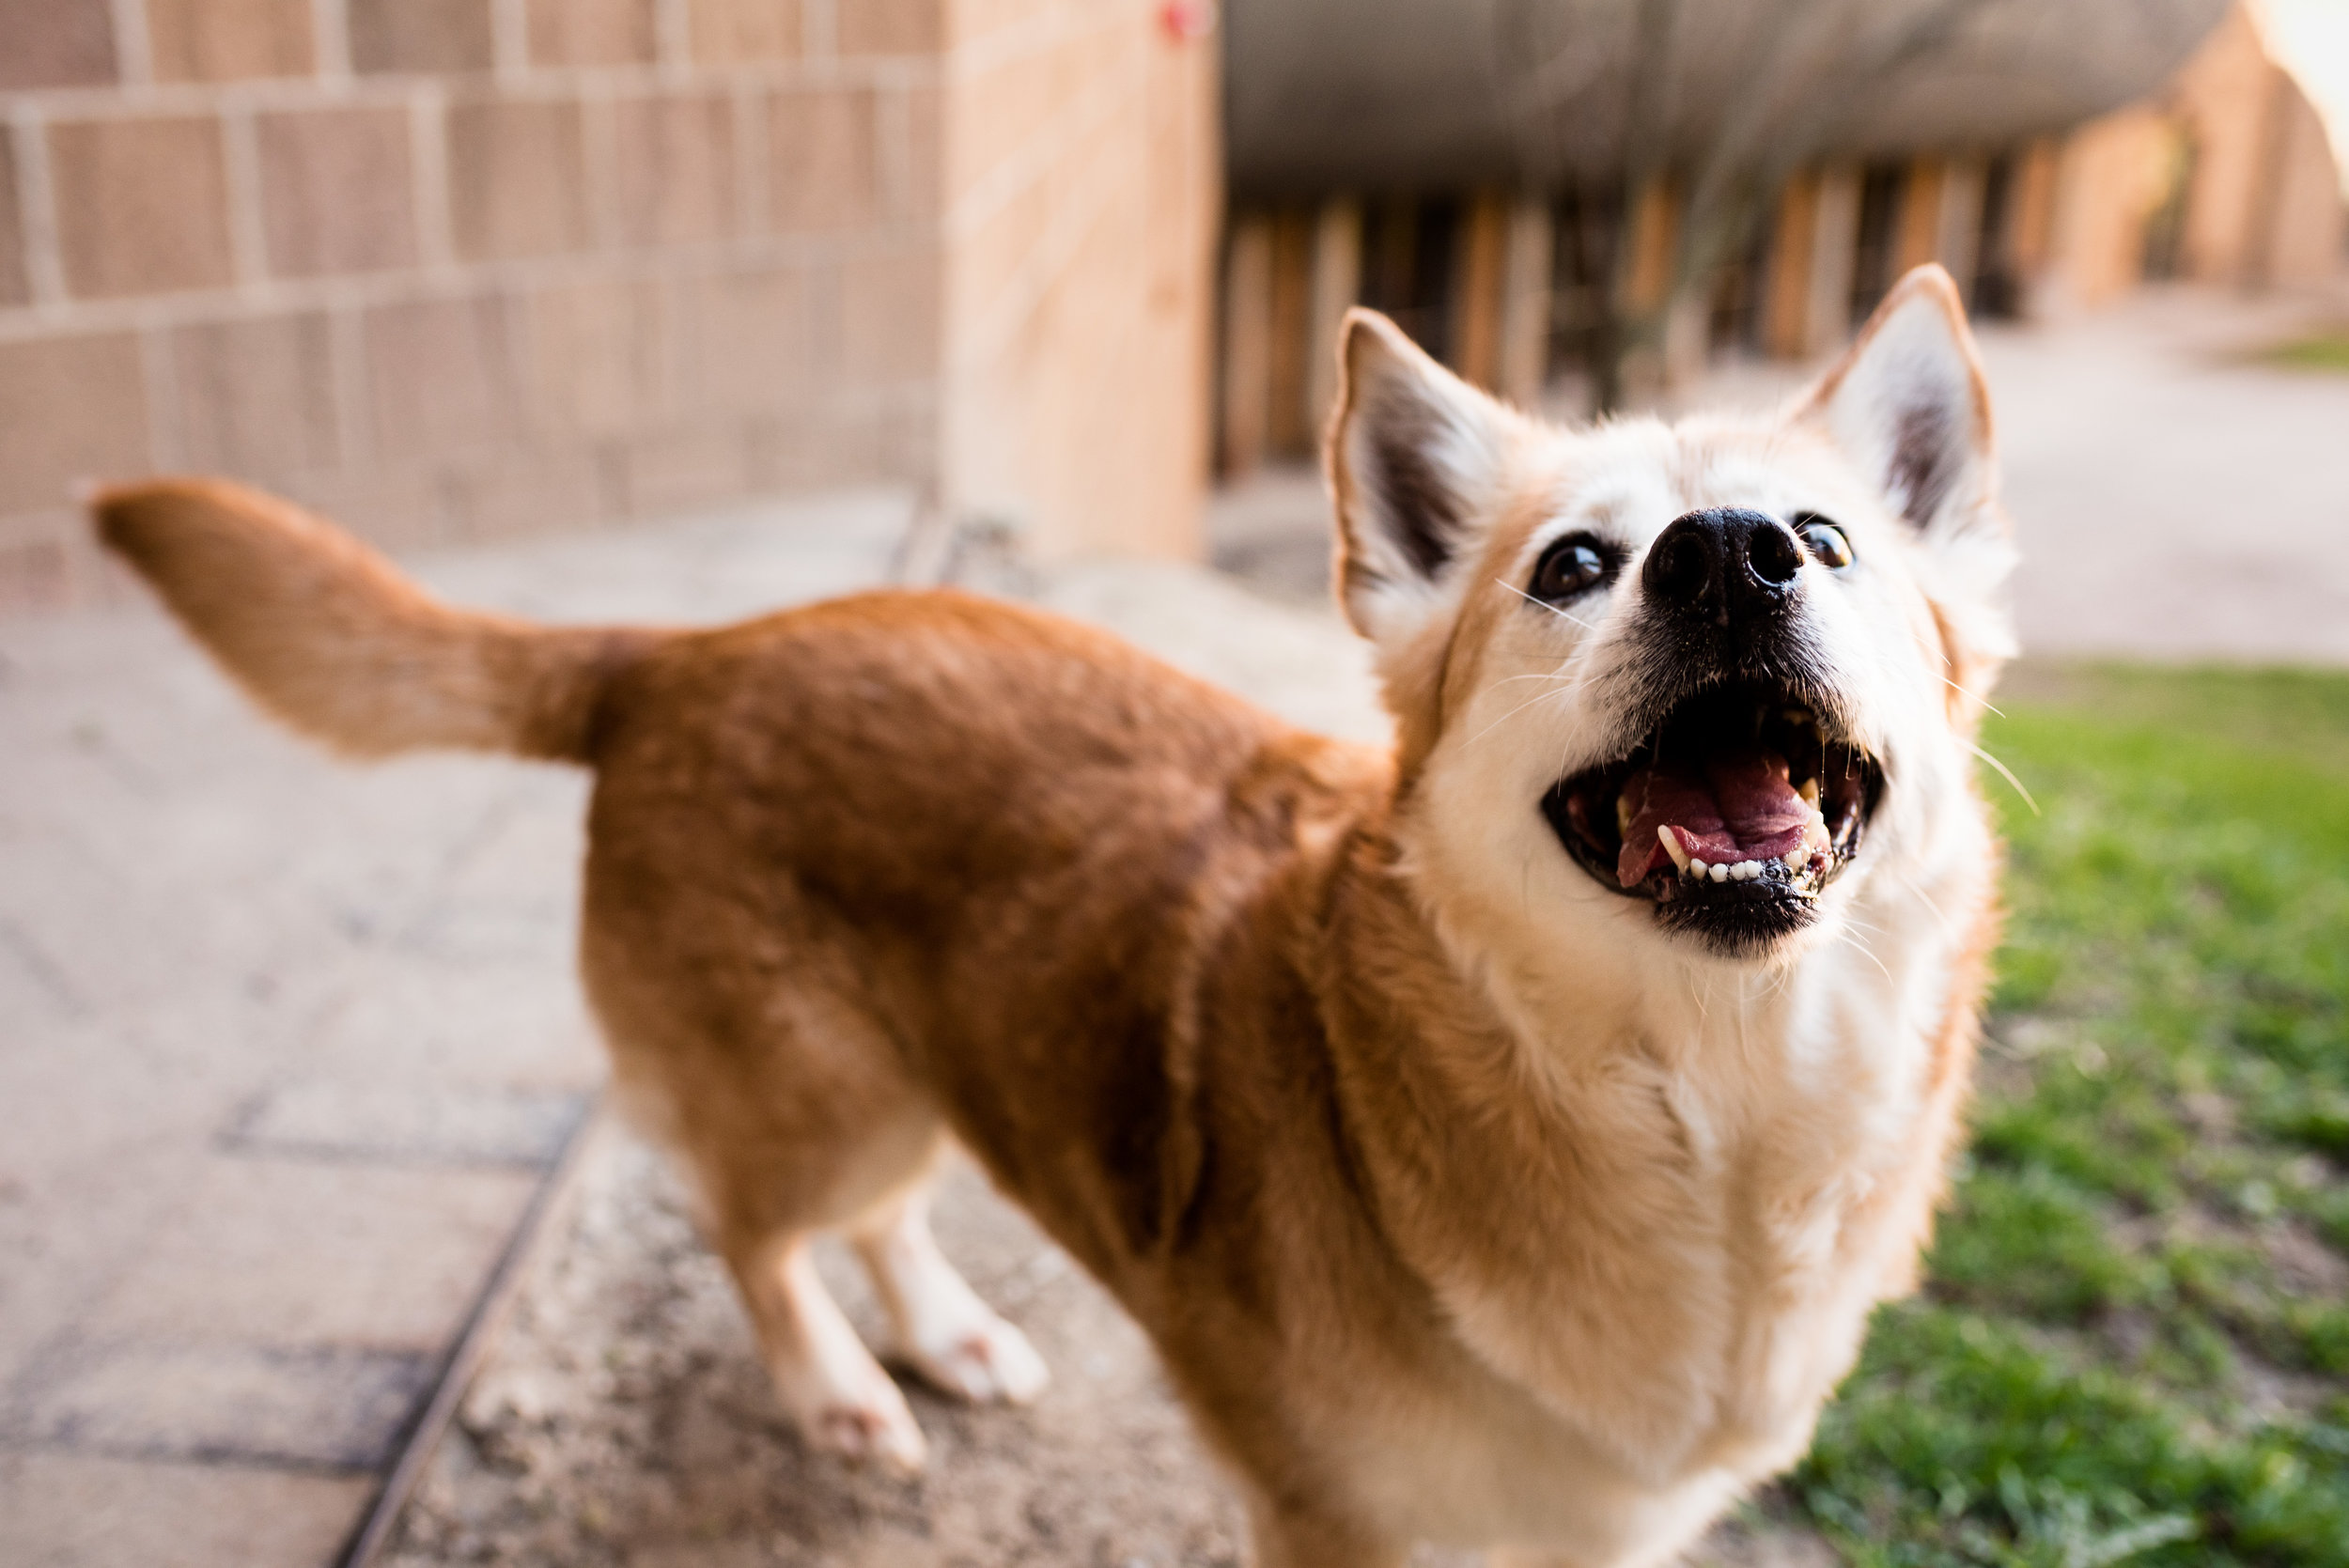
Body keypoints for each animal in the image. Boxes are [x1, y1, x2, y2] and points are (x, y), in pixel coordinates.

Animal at [101, 270, 2011, 1568]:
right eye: (1572, 568)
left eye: (1828, 536)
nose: (1734, 552)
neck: (1709, 1107)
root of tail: (683, 651)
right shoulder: (1335, 1522)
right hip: (822, 1090)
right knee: (756, 1228)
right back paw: (840, 1385)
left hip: (932, 1055)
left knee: (873, 1216)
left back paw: (940, 1330)